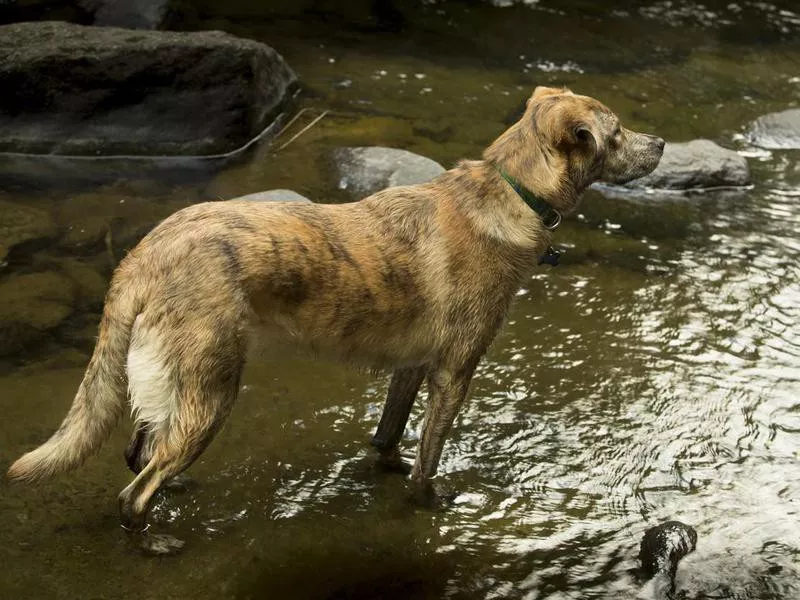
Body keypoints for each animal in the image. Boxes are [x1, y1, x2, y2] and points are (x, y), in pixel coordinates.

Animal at [6, 86, 664, 552]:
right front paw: (429, 502)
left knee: (141, 449)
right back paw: (156, 539)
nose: (659, 144)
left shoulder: (411, 367)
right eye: (617, 132)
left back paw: (177, 487)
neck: (510, 190)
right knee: (133, 492)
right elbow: (428, 460)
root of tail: (146, 252)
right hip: (213, 387)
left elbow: (390, 435)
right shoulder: (454, 373)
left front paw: (383, 467)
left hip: (178, 383)